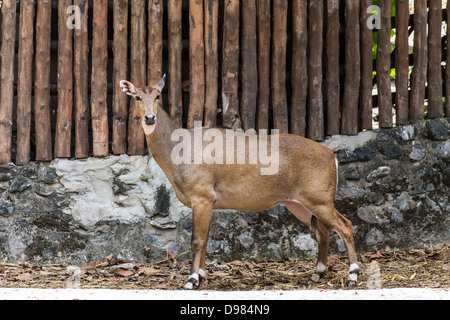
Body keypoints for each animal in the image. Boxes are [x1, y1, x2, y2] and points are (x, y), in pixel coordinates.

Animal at [121, 75, 360, 290]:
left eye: (157, 95)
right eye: (137, 96)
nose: (149, 117)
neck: (178, 153)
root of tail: (332, 156)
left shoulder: (202, 196)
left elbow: (197, 240)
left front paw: (191, 281)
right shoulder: (209, 201)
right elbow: (206, 238)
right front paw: (202, 276)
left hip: (319, 198)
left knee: (345, 225)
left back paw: (352, 275)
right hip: (298, 202)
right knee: (323, 230)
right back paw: (316, 275)